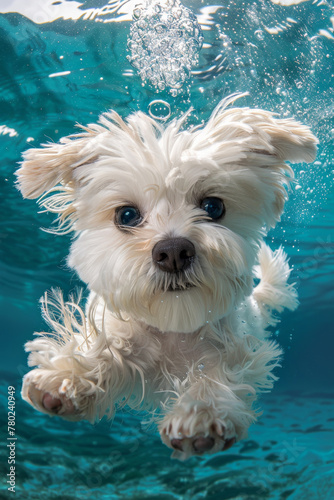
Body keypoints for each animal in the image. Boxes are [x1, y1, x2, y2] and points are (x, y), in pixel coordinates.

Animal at [16, 94, 318, 460]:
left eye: (213, 207)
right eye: (126, 215)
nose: (173, 251)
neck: (174, 328)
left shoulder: (235, 348)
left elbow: (219, 369)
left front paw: (202, 411)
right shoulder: (117, 328)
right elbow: (106, 347)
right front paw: (71, 375)